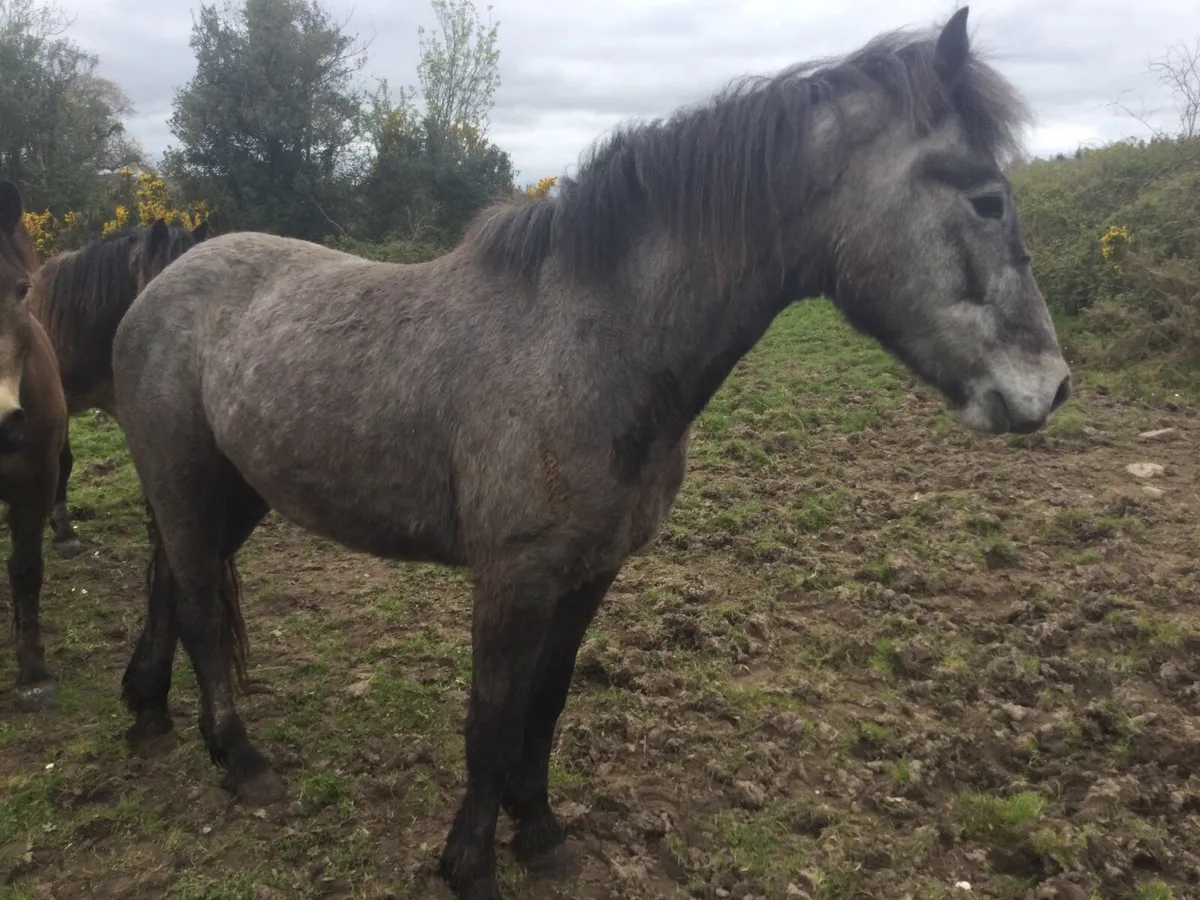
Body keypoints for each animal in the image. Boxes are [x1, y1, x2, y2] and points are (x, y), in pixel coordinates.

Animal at [111, 9, 1072, 900]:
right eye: (986, 199)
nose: (1050, 388)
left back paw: (149, 712)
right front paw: (470, 865)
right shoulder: (513, 575)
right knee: (199, 607)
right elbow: (492, 718)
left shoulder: (590, 571)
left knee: (170, 586)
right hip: (186, 480)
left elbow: (546, 702)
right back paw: (240, 761)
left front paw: (539, 833)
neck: (593, 345)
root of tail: (164, 280)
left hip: (233, 490)